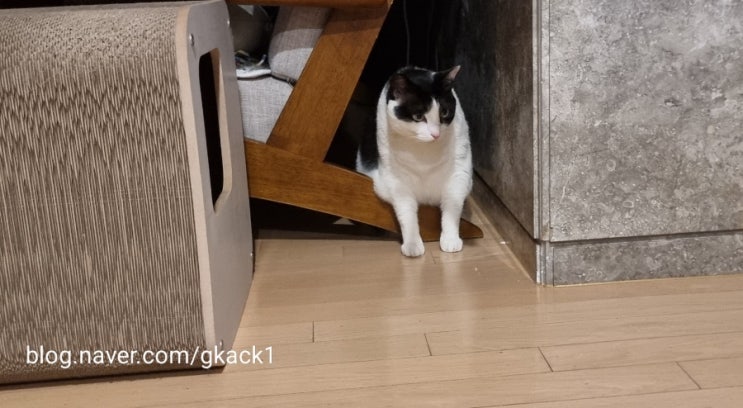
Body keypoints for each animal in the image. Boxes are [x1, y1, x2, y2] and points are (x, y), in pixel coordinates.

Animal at [357, 65, 472, 257]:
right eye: (418, 116)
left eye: (444, 112)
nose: (436, 134)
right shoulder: (396, 181)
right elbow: (407, 212)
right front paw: (412, 244)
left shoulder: (459, 174)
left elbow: (452, 208)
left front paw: (450, 239)